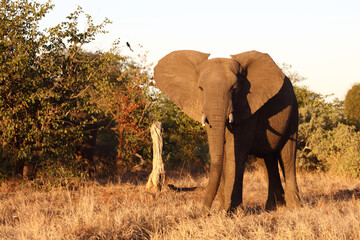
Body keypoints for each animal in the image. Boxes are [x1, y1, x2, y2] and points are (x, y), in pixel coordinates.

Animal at [155, 49, 300, 213]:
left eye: (234, 89)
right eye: (200, 88)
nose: (205, 213)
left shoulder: (248, 106)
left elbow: (234, 152)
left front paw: (231, 212)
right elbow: (222, 153)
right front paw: (223, 210)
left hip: (293, 112)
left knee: (288, 156)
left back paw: (294, 207)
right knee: (268, 159)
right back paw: (273, 207)